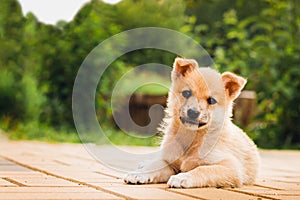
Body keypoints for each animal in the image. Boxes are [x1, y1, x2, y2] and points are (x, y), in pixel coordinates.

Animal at [123, 57, 258, 188]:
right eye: (186, 93)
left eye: (211, 101)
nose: (193, 112)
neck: (191, 139)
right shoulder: (171, 163)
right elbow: (156, 165)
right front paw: (139, 174)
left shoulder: (231, 167)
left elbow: (203, 169)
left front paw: (182, 178)